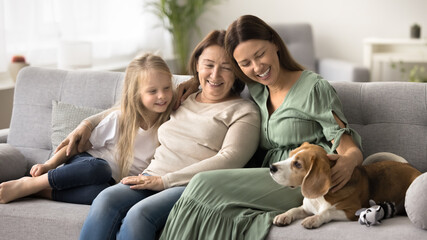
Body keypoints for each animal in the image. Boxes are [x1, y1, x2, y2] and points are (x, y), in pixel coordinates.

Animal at [270, 142, 422, 229]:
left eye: (297, 164)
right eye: (290, 155)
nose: (271, 167)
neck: (320, 198)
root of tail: (409, 165)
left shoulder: (351, 211)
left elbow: (327, 211)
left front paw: (314, 219)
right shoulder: (307, 207)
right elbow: (294, 209)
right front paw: (284, 215)